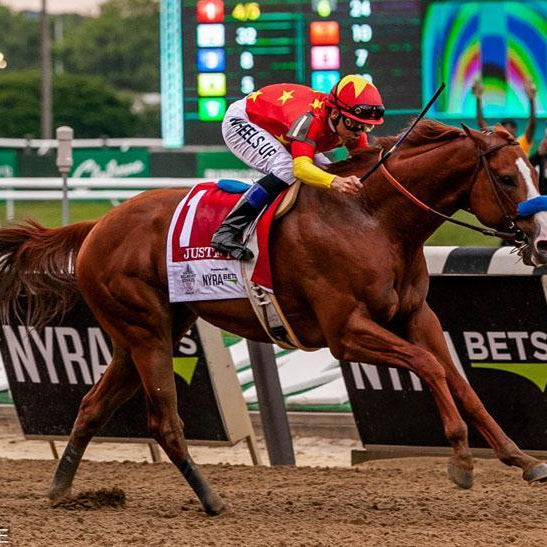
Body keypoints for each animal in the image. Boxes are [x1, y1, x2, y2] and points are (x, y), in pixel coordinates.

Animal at [1, 121, 547, 520]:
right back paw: (211, 500)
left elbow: (460, 380)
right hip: (145, 331)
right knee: (165, 422)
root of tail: (98, 224)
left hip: (144, 334)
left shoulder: (416, 316)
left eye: (534, 174)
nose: (541, 242)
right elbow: (430, 368)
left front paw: (520, 458)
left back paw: (61, 488)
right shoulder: (346, 332)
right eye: (505, 178)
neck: (372, 218)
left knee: (92, 406)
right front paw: (461, 459)